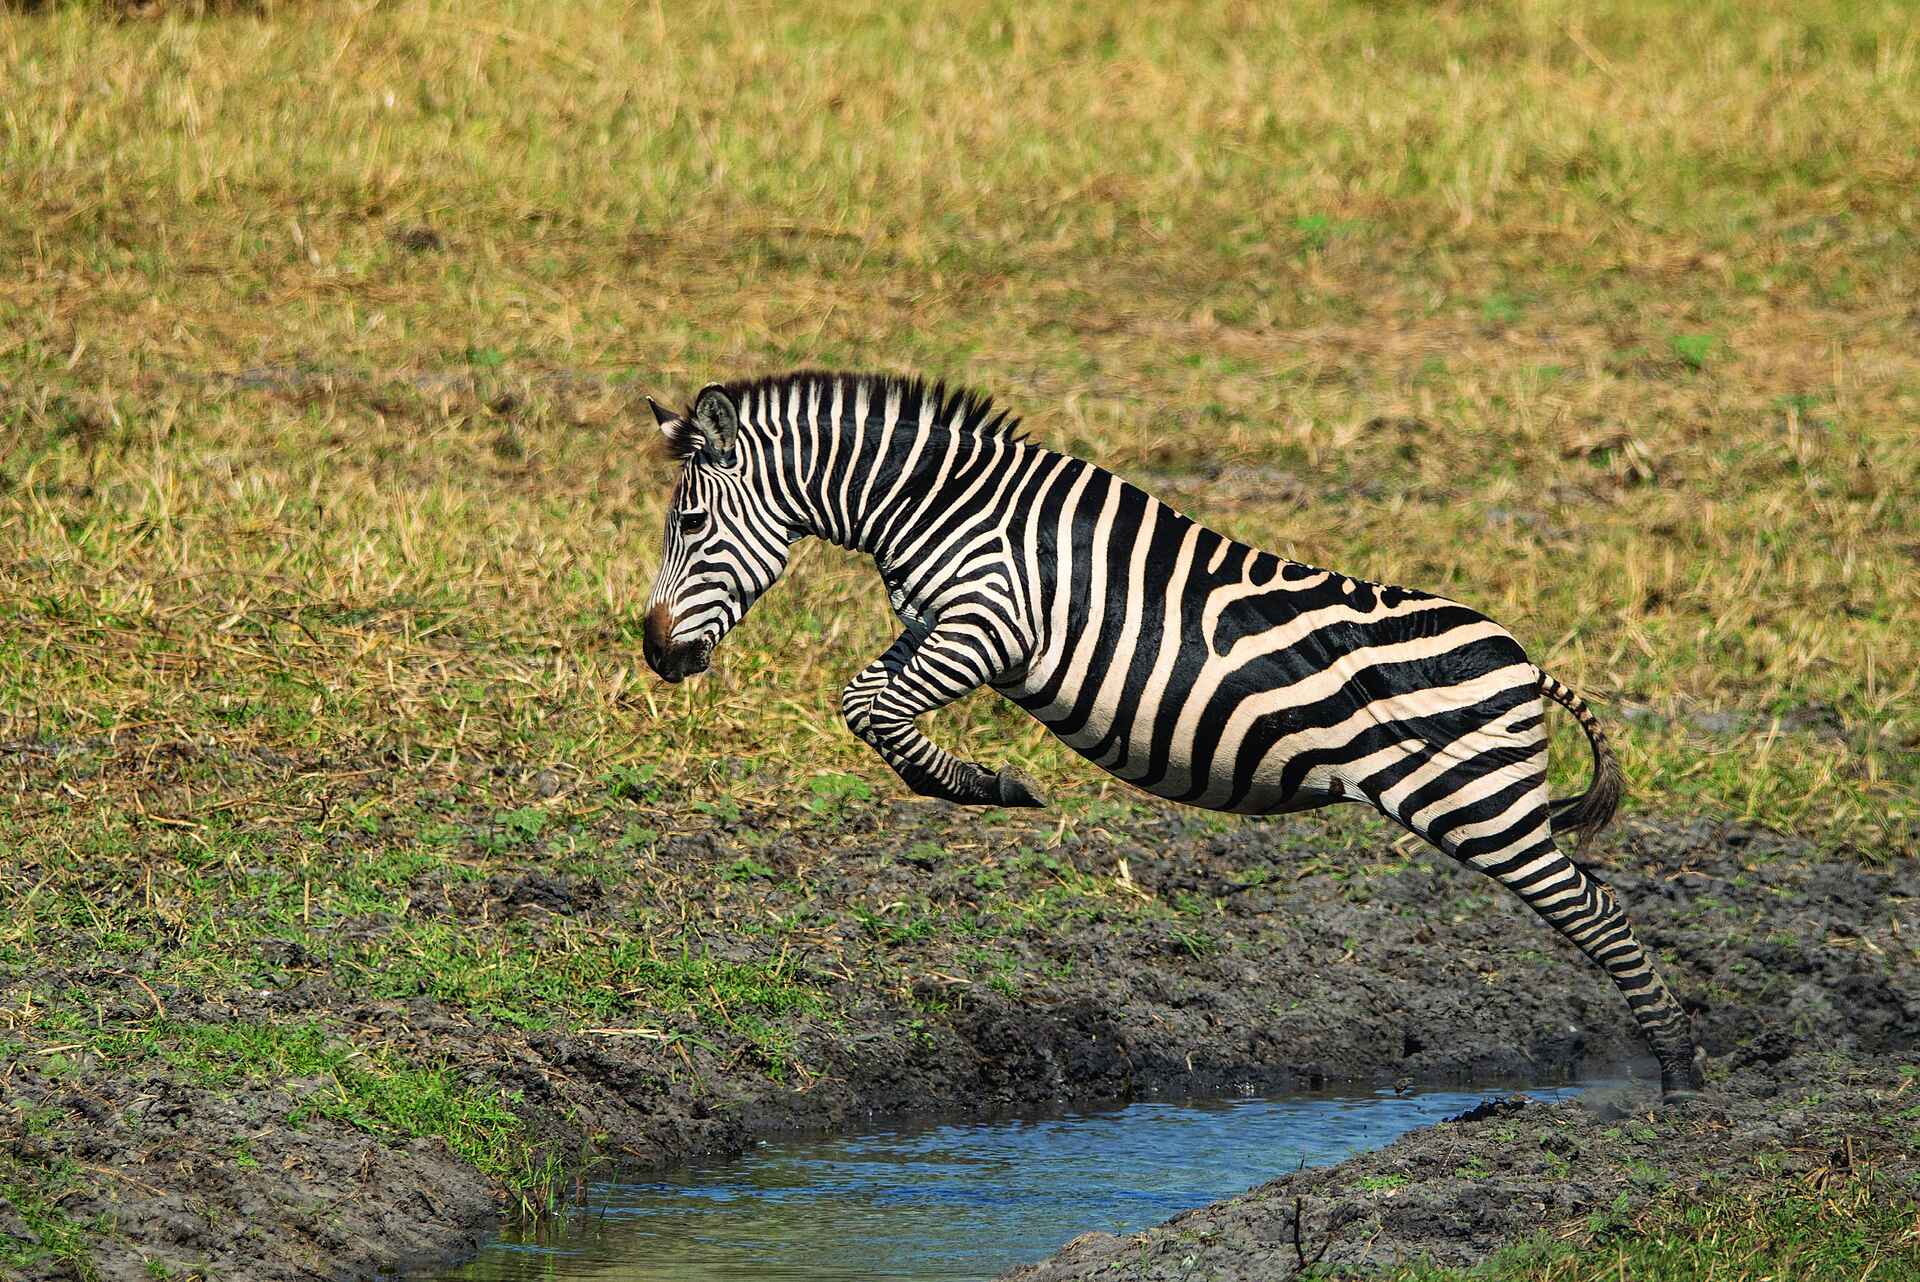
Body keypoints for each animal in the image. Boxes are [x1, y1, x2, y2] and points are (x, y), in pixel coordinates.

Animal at [640, 370, 1706, 1100]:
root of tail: (1524, 660)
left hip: (1481, 806)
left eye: (688, 524)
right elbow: (867, 699)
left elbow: (870, 709)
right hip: (1494, 806)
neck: (940, 508)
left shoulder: (987, 623)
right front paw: (974, 783)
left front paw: (985, 786)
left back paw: (1683, 1076)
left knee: (1597, 912)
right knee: (1596, 901)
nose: (652, 653)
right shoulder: (934, 625)